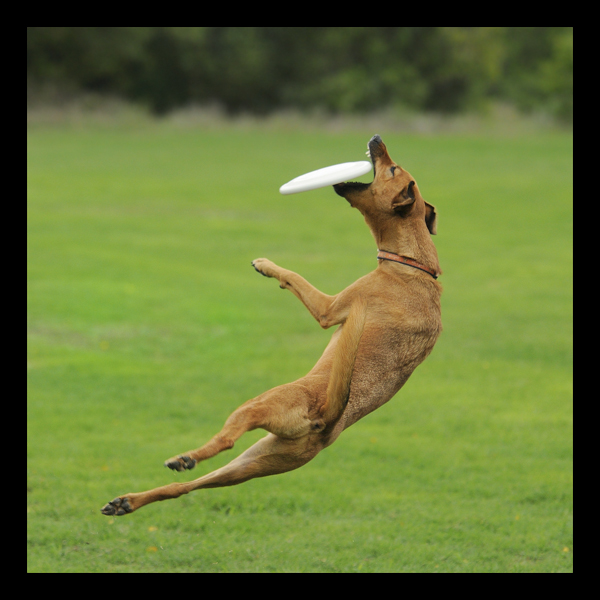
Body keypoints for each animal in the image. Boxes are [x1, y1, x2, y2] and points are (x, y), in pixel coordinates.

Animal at [102, 135, 440, 516]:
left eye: (392, 169)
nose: (376, 139)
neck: (412, 262)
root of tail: (325, 418)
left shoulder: (330, 309)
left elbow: (294, 276)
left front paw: (266, 265)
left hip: (257, 407)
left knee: (224, 440)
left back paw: (184, 458)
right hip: (252, 464)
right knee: (184, 487)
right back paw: (128, 501)